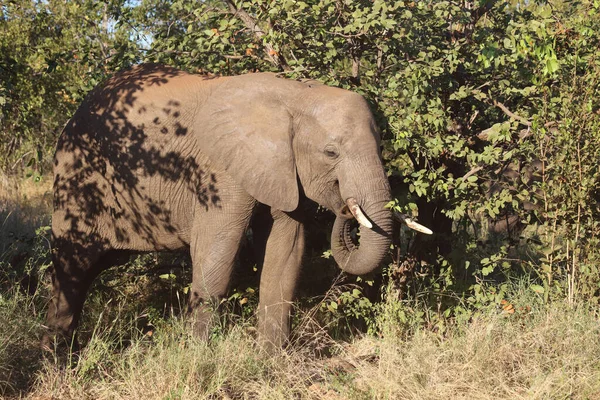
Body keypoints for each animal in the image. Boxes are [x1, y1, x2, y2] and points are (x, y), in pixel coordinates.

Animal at [42, 64, 426, 352]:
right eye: (331, 152)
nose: (347, 209)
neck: (294, 96)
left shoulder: (281, 168)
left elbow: (286, 250)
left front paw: (271, 360)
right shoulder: (219, 170)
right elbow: (217, 251)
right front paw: (198, 356)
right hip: (78, 176)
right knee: (73, 264)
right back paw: (57, 360)